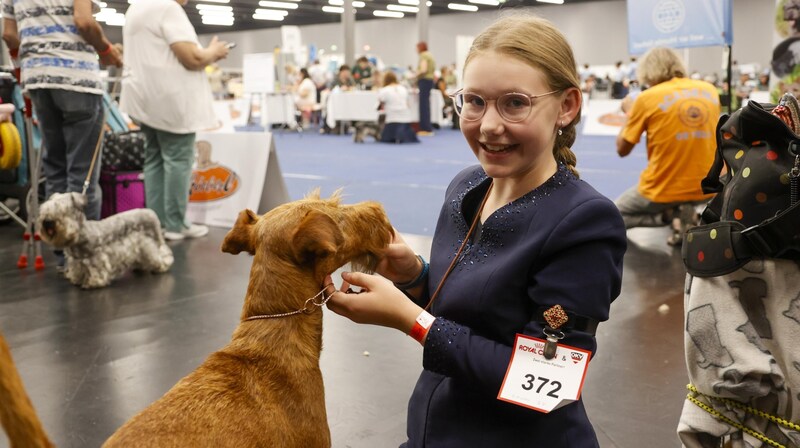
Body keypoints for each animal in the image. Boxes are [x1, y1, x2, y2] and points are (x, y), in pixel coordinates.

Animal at [38, 192, 173, 288]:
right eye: (44, 209)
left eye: (63, 210)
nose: (47, 221)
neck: (80, 235)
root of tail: (150, 212)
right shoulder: (76, 261)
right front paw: (77, 280)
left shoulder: (96, 259)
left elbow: (96, 271)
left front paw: (93, 282)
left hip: (151, 245)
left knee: (163, 255)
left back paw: (161, 267)